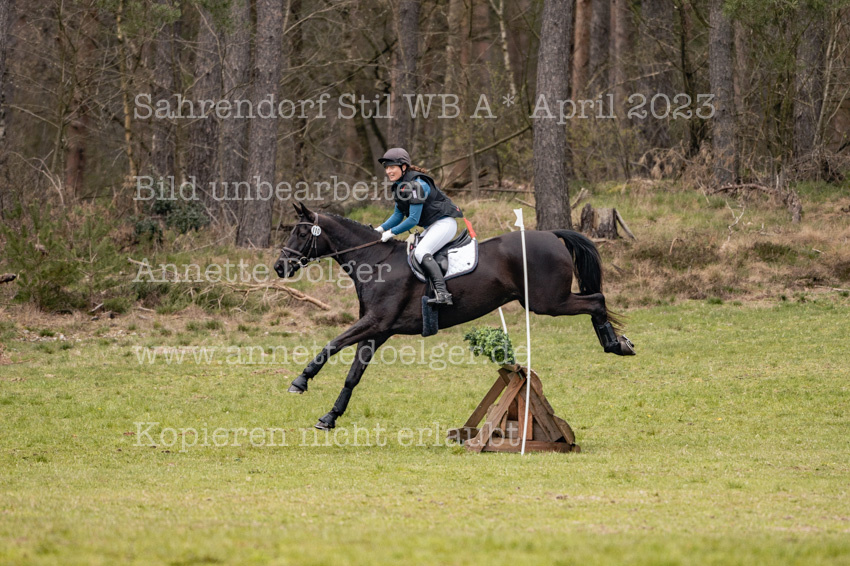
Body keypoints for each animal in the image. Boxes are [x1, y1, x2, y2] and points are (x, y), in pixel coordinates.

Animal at [274, 202, 634, 430]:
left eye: (302, 234)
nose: (279, 266)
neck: (375, 262)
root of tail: (551, 234)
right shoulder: (377, 331)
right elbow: (353, 375)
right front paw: (330, 417)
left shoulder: (375, 323)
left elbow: (332, 344)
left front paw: (300, 381)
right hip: (548, 300)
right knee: (596, 300)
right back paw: (618, 343)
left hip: (548, 301)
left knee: (597, 300)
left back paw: (616, 344)